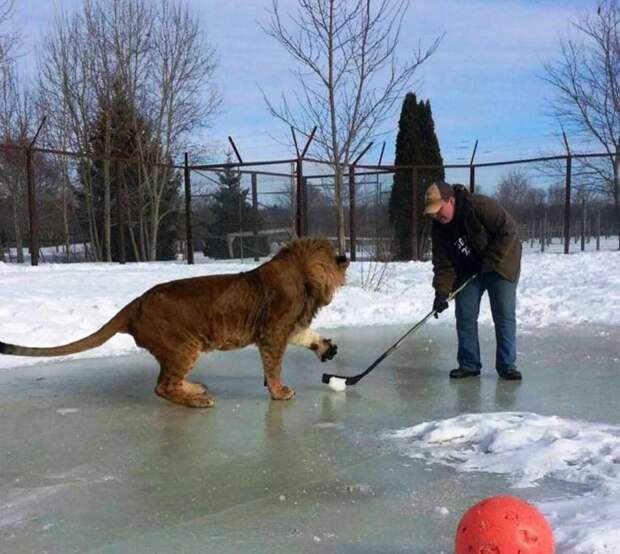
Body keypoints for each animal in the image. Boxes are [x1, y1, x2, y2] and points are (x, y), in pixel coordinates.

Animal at [0, 237, 348, 406]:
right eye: (333, 257)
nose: (345, 258)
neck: (303, 274)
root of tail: (135, 304)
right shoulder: (273, 331)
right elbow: (273, 365)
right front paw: (279, 392)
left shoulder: (287, 327)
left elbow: (307, 335)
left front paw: (326, 348)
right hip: (184, 346)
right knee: (162, 386)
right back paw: (198, 400)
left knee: (168, 382)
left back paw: (195, 388)